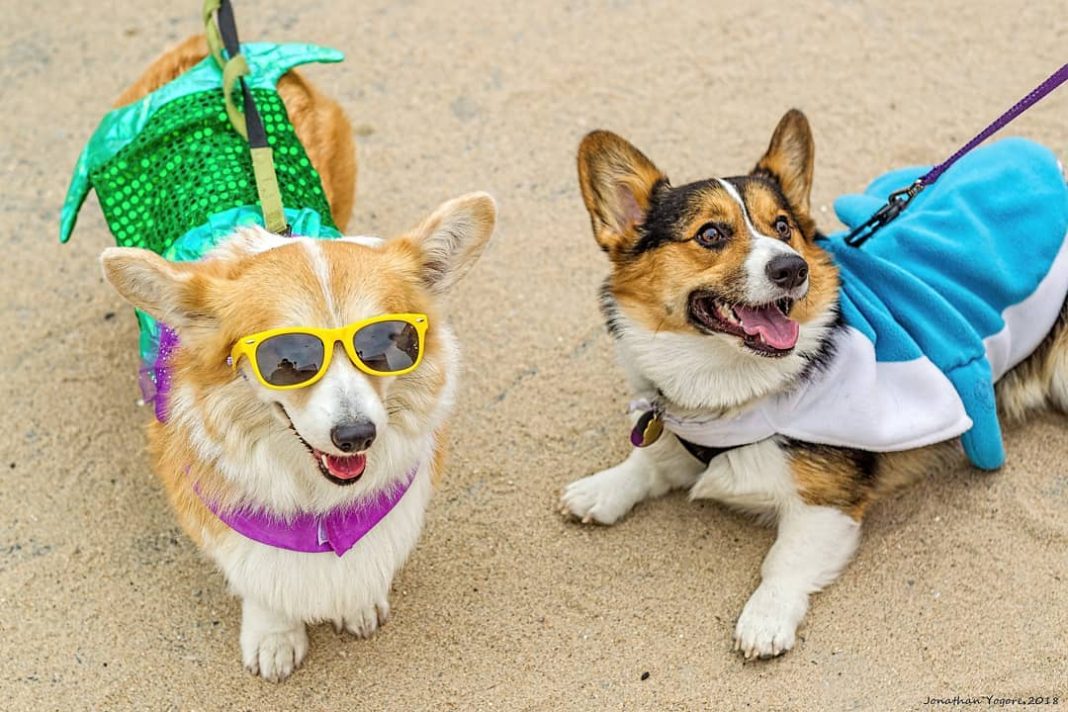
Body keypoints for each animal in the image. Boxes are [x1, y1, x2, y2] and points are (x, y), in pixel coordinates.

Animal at [80, 36, 495, 683]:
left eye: (390, 343)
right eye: (287, 360)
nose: (357, 436)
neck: (320, 504)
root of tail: (207, 43)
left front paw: (358, 604)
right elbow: (260, 577)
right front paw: (273, 636)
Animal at [559, 108, 1068, 661]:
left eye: (783, 226)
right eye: (711, 234)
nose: (792, 267)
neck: (729, 393)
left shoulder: (826, 503)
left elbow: (785, 560)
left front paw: (764, 620)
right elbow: (649, 460)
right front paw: (600, 489)